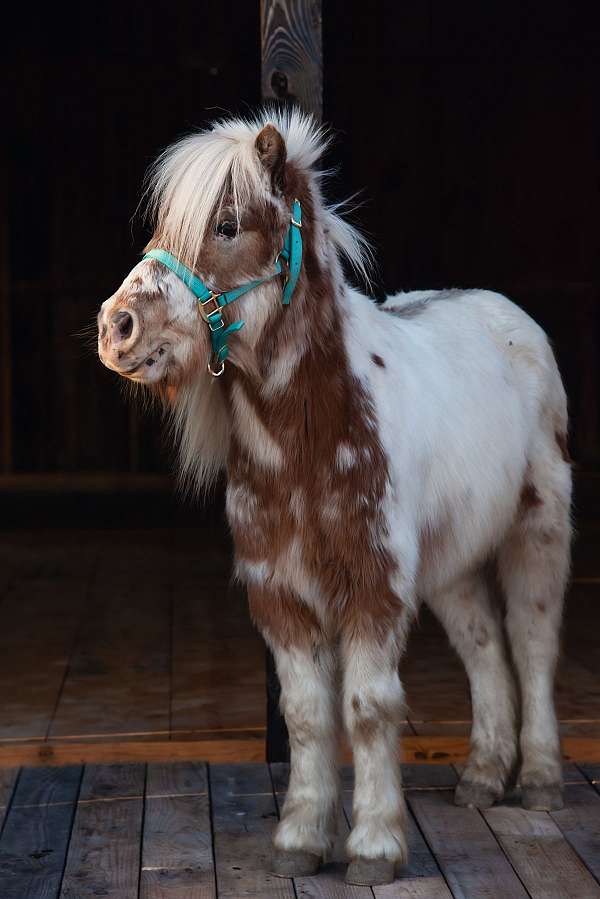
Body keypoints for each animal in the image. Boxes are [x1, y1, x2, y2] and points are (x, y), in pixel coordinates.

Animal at [97, 109, 572, 888]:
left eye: (225, 224)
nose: (117, 327)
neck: (310, 439)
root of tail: (509, 315)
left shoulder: (373, 585)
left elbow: (368, 707)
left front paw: (375, 846)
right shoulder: (280, 593)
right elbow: (307, 714)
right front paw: (299, 838)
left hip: (537, 529)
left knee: (532, 641)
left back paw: (538, 779)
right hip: (450, 562)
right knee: (482, 647)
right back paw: (481, 776)